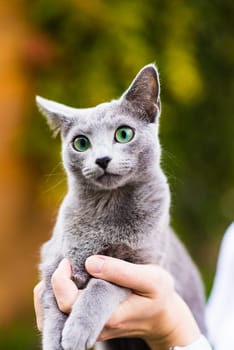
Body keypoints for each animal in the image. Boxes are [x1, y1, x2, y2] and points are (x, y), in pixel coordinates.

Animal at [35, 63, 206, 350]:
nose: (102, 159)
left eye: (124, 134)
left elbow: (102, 286)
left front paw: (77, 330)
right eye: (81, 143)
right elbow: (53, 308)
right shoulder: (56, 261)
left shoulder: (141, 265)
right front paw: (58, 340)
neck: (108, 207)